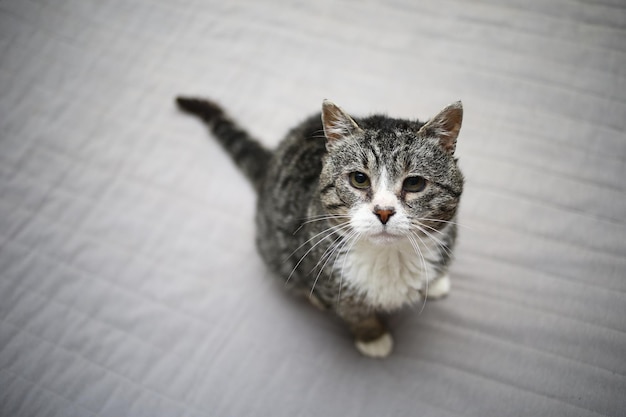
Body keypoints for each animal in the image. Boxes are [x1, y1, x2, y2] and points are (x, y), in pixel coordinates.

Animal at [173, 96, 460, 356]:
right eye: (359, 179)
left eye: (414, 183)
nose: (384, 211)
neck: (389, 257)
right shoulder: (324, 270)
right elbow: (352, 311)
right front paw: (372, 337)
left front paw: (435, 281)